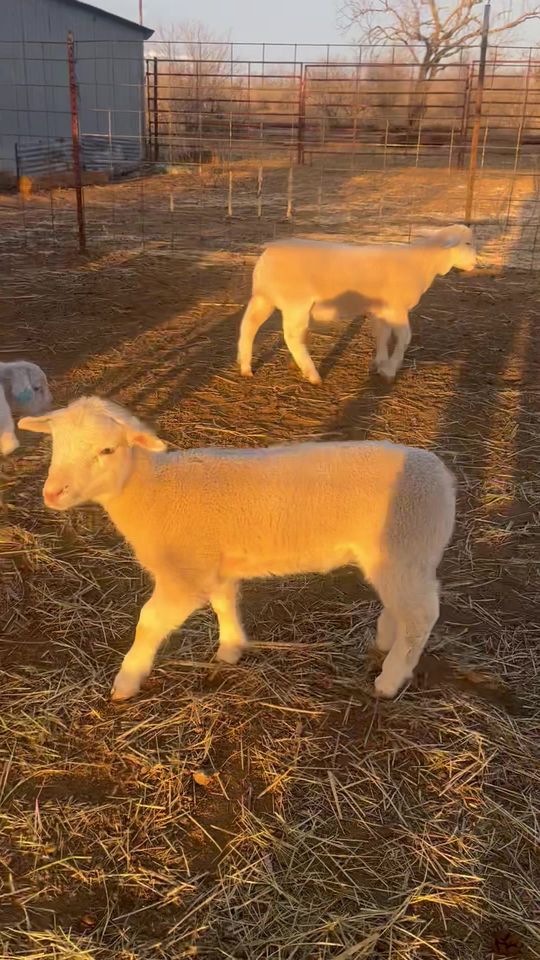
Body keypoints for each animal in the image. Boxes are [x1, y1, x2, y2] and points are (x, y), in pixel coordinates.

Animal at [20, 396, 456, 703]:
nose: (52, 493)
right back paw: (384, 638)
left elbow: (148, 623)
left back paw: (390, 678)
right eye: (56, 443)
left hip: (405, 547)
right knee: (405, 605)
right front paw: (230, 648)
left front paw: (126, 681)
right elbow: (224, 602)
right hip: (400, 556)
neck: (151, 492)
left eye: (107, 450)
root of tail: (442, 477)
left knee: (421, 615)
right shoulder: (214, 564)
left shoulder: (185, 575)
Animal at [237, 224, 476, 385]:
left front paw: (379, 363)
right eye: (467, 243)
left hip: (264, 297)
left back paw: (245, 366)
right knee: (292, 336)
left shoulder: (381, 310)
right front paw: (390, 369)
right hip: (296, 302)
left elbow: (382, 334)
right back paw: (312, 374)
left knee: (248, 326)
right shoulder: (396, 308)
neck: (422, 263)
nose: (476, 262)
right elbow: (404, 337)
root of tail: (270, 250)